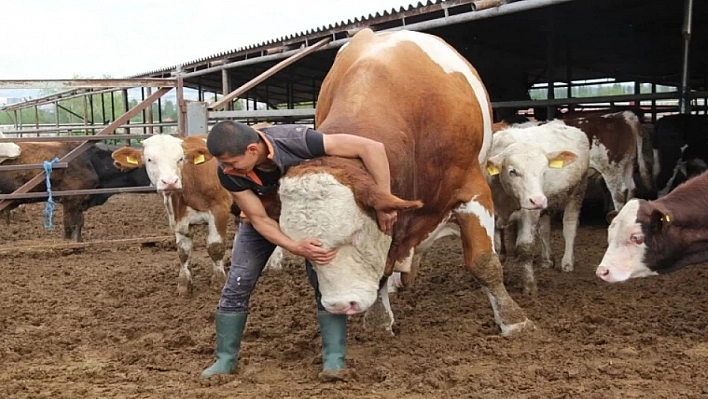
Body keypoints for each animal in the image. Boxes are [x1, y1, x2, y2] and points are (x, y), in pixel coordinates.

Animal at [276, 28, 532, 338]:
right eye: (302, 249)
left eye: (355, 234)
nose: (340, 306)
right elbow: (383, 268)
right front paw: (378, 321)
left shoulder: (472, 189)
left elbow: (485, 262)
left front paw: (514, 321)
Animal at [486, 120, 592, 296]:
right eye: (512, 171)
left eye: (544, 171)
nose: (538, 200)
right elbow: (497, 250)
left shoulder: (529, 212)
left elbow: (525, 247)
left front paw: (529, 287)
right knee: (545, 229)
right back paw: (547, 260)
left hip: (578, 190)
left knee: (569, 226)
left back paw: (567, 262)